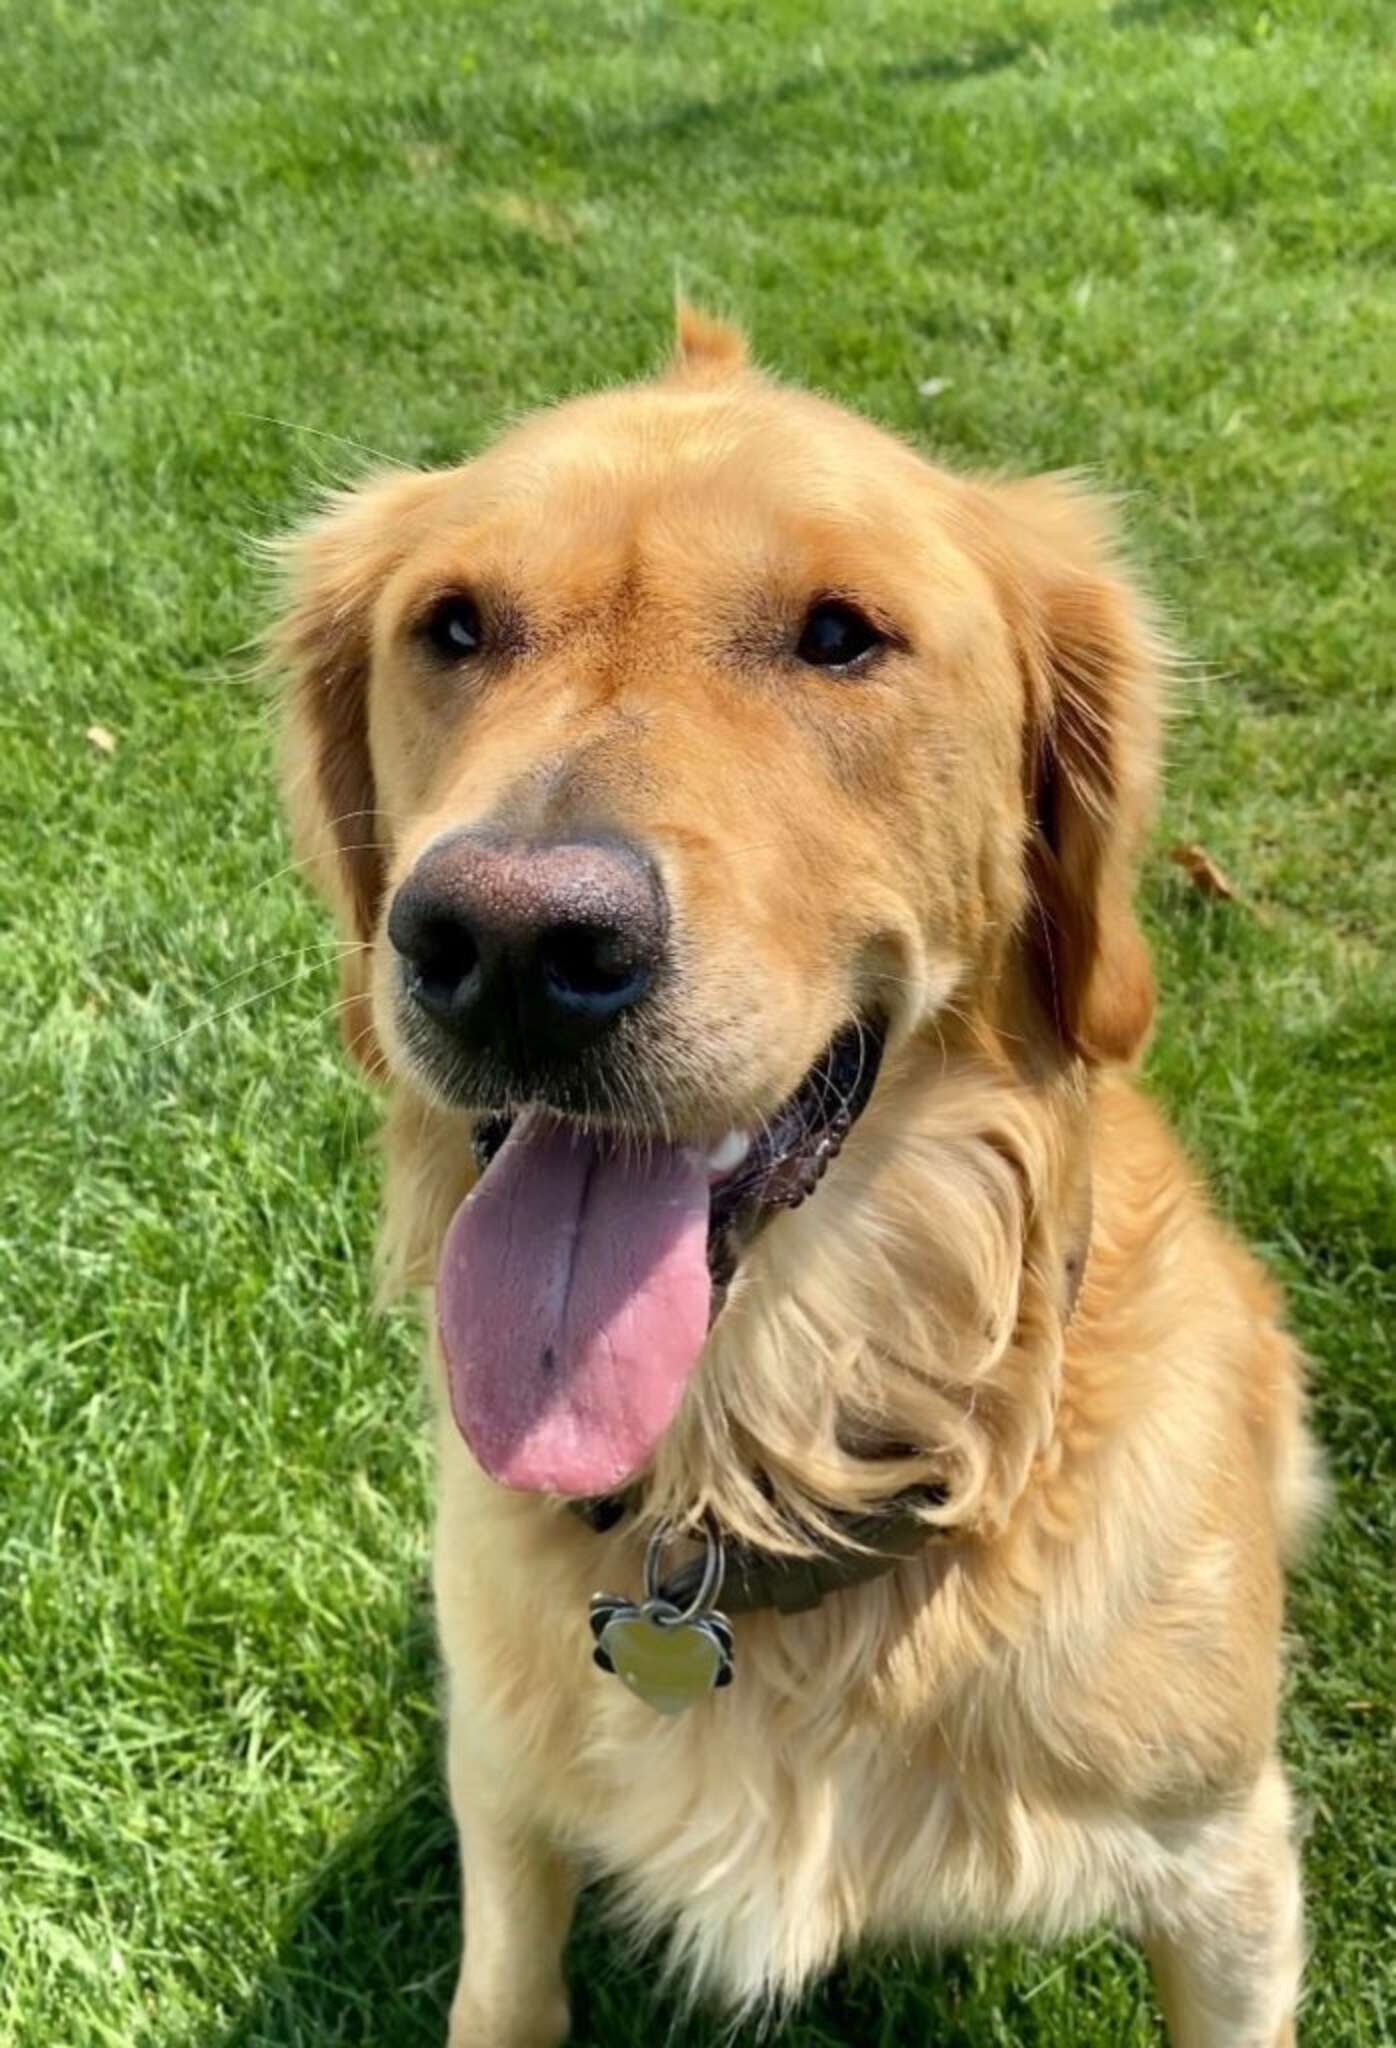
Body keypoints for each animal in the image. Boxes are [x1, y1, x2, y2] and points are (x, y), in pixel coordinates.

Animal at [272, 307, 1318, 2048]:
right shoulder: (501, 1781)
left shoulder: (1231, 1873)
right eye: (454, 626)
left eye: (841, 637)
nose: (508, 946)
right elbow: (507, 1985)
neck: (744, 1486)